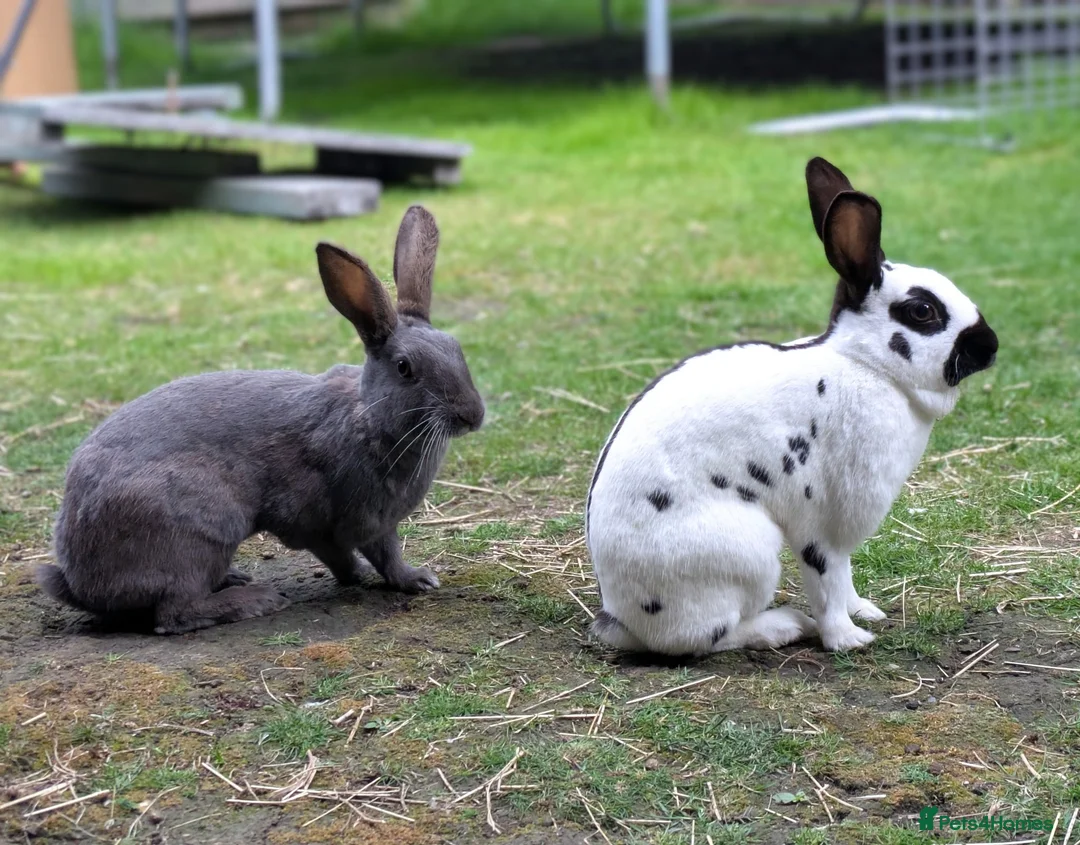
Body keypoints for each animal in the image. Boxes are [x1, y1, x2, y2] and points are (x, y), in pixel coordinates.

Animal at [36, 205, 485, 634]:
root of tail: (82, 583)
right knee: (174, 613)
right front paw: (414, 579)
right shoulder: (347, 521)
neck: (368, 417)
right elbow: (377, 555)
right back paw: (257, 599)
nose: (473, 415)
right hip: (202, 533)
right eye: (405, 368)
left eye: (456, 348)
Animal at [586, 157, 998, 656]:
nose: (991, 348)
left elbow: (846, 579)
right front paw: (849, 639)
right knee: (706, 636)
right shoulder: (823, 526)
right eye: (922, 311)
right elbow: (828, 582)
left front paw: (866, 612)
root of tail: (620, 618)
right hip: (747, 554)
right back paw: (785, 625)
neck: (866, 364)